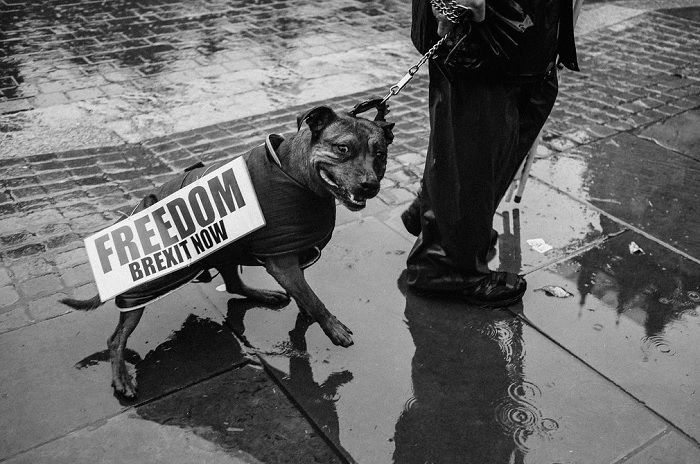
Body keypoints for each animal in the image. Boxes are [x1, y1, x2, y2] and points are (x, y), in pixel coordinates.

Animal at [61, 105, 394, 398]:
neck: (296, 176)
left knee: (233, 283)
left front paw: (308, 314)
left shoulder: (291, 259)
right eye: (343, 148)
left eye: (380, 154)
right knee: (115, 339)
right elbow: (314, 299)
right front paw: (333, 328)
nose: (369, 185)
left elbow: (305, 295)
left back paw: (263, 294)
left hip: (227, 248)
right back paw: (121, 378)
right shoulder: (282, 263)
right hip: (146, 286)